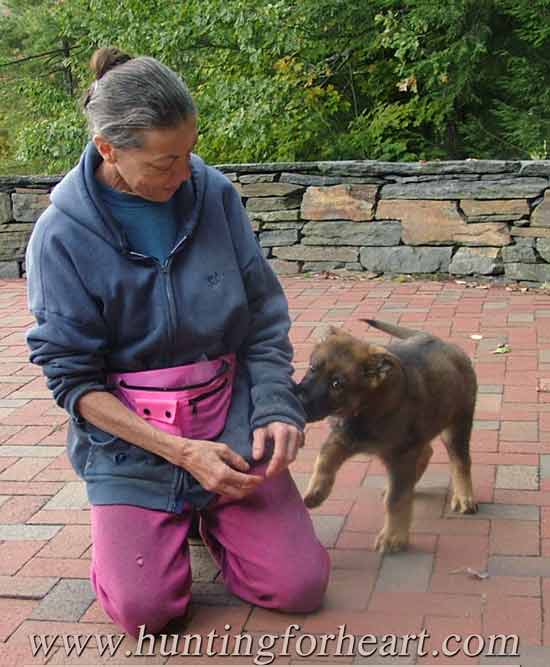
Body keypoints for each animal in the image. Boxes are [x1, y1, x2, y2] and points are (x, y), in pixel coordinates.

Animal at [298, 318, 478, 552]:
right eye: (312, 368)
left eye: (337, 384)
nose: (297, 398)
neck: (364, 409)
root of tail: (442, 342)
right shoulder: (342, 438)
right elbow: (324, 461)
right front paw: (316, 492)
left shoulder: (401, 455)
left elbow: (396, 499)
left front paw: (393, 537)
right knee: (426, 451)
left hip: (456, 425)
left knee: (460, 461)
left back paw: (464, 497)